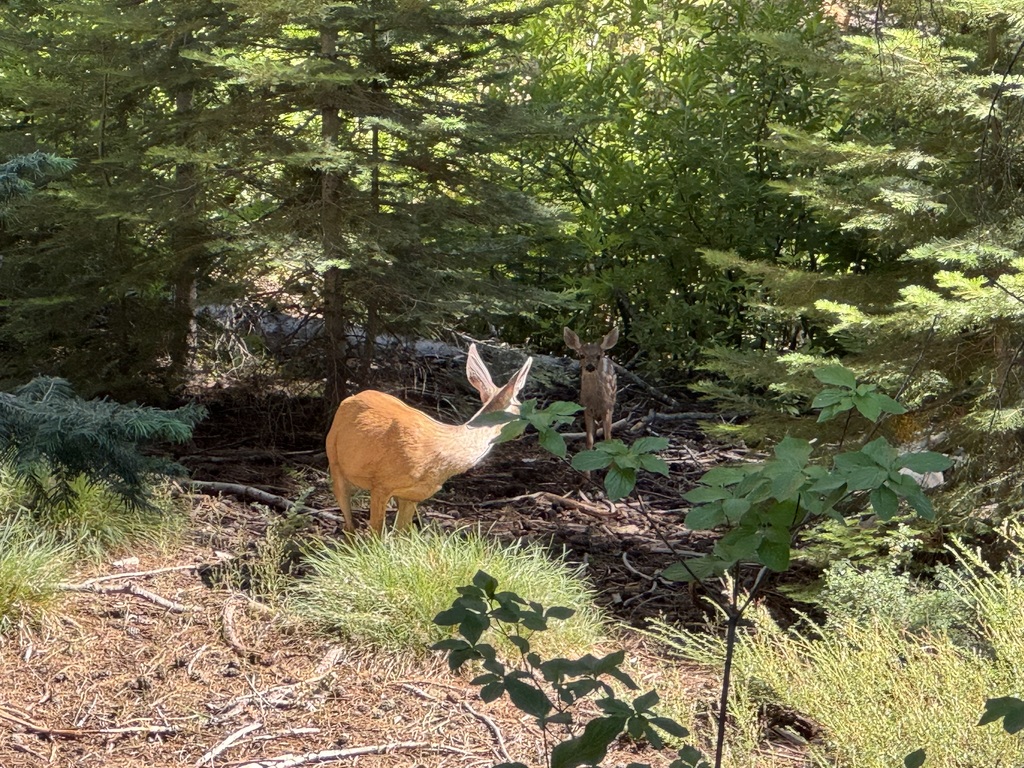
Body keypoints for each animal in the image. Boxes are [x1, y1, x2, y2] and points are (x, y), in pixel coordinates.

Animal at [326, 344, 533, 534]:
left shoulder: (413, 495)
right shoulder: (381, 483)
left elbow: (401, 535)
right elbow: (376, 535)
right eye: (521, 408)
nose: (529, 427)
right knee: (348, 522)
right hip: (333, 458)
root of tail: (353, 397)